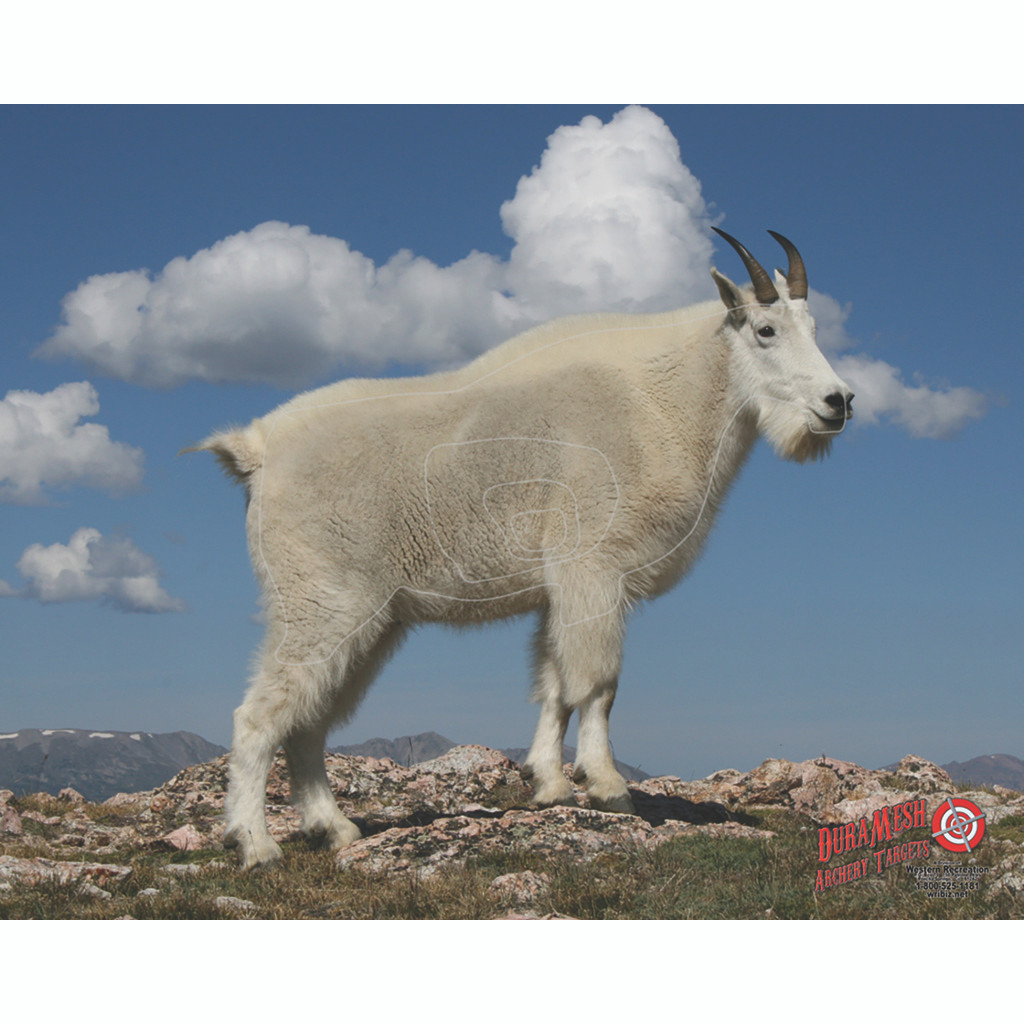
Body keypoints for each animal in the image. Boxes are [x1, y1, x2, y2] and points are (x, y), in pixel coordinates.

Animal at [188, 228, 854, 868]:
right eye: (766, 330)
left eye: (816, 329)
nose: (838, 402)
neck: (664, 400)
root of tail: (257, 450)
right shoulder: (593, 567)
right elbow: (599, 683)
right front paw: (609, 788)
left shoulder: (561, 587)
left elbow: (554, 683)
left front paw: (549, 785)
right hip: (323, 601)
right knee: (260, 716)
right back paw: (256, 845)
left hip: (371, 619)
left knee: (310, 721)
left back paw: (335, 829)